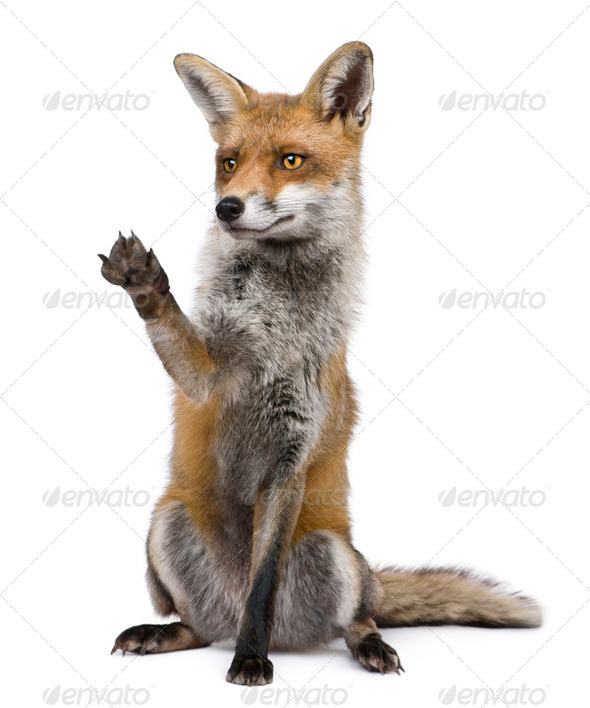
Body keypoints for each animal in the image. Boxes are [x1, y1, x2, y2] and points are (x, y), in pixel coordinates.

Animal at [100, 42, 540, 684]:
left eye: (290, 160)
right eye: (229, 162)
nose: (226, 208)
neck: (275, 330)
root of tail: (291, 636)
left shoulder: (292, 457)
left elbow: (262, 585)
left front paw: (250, 659)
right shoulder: (206, 378)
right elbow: (178, 335)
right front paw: (145, 285)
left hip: (336, 556)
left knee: (353, 616)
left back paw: (363, 644)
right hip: (167, 522)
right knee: (197, 626)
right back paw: (170, 632)